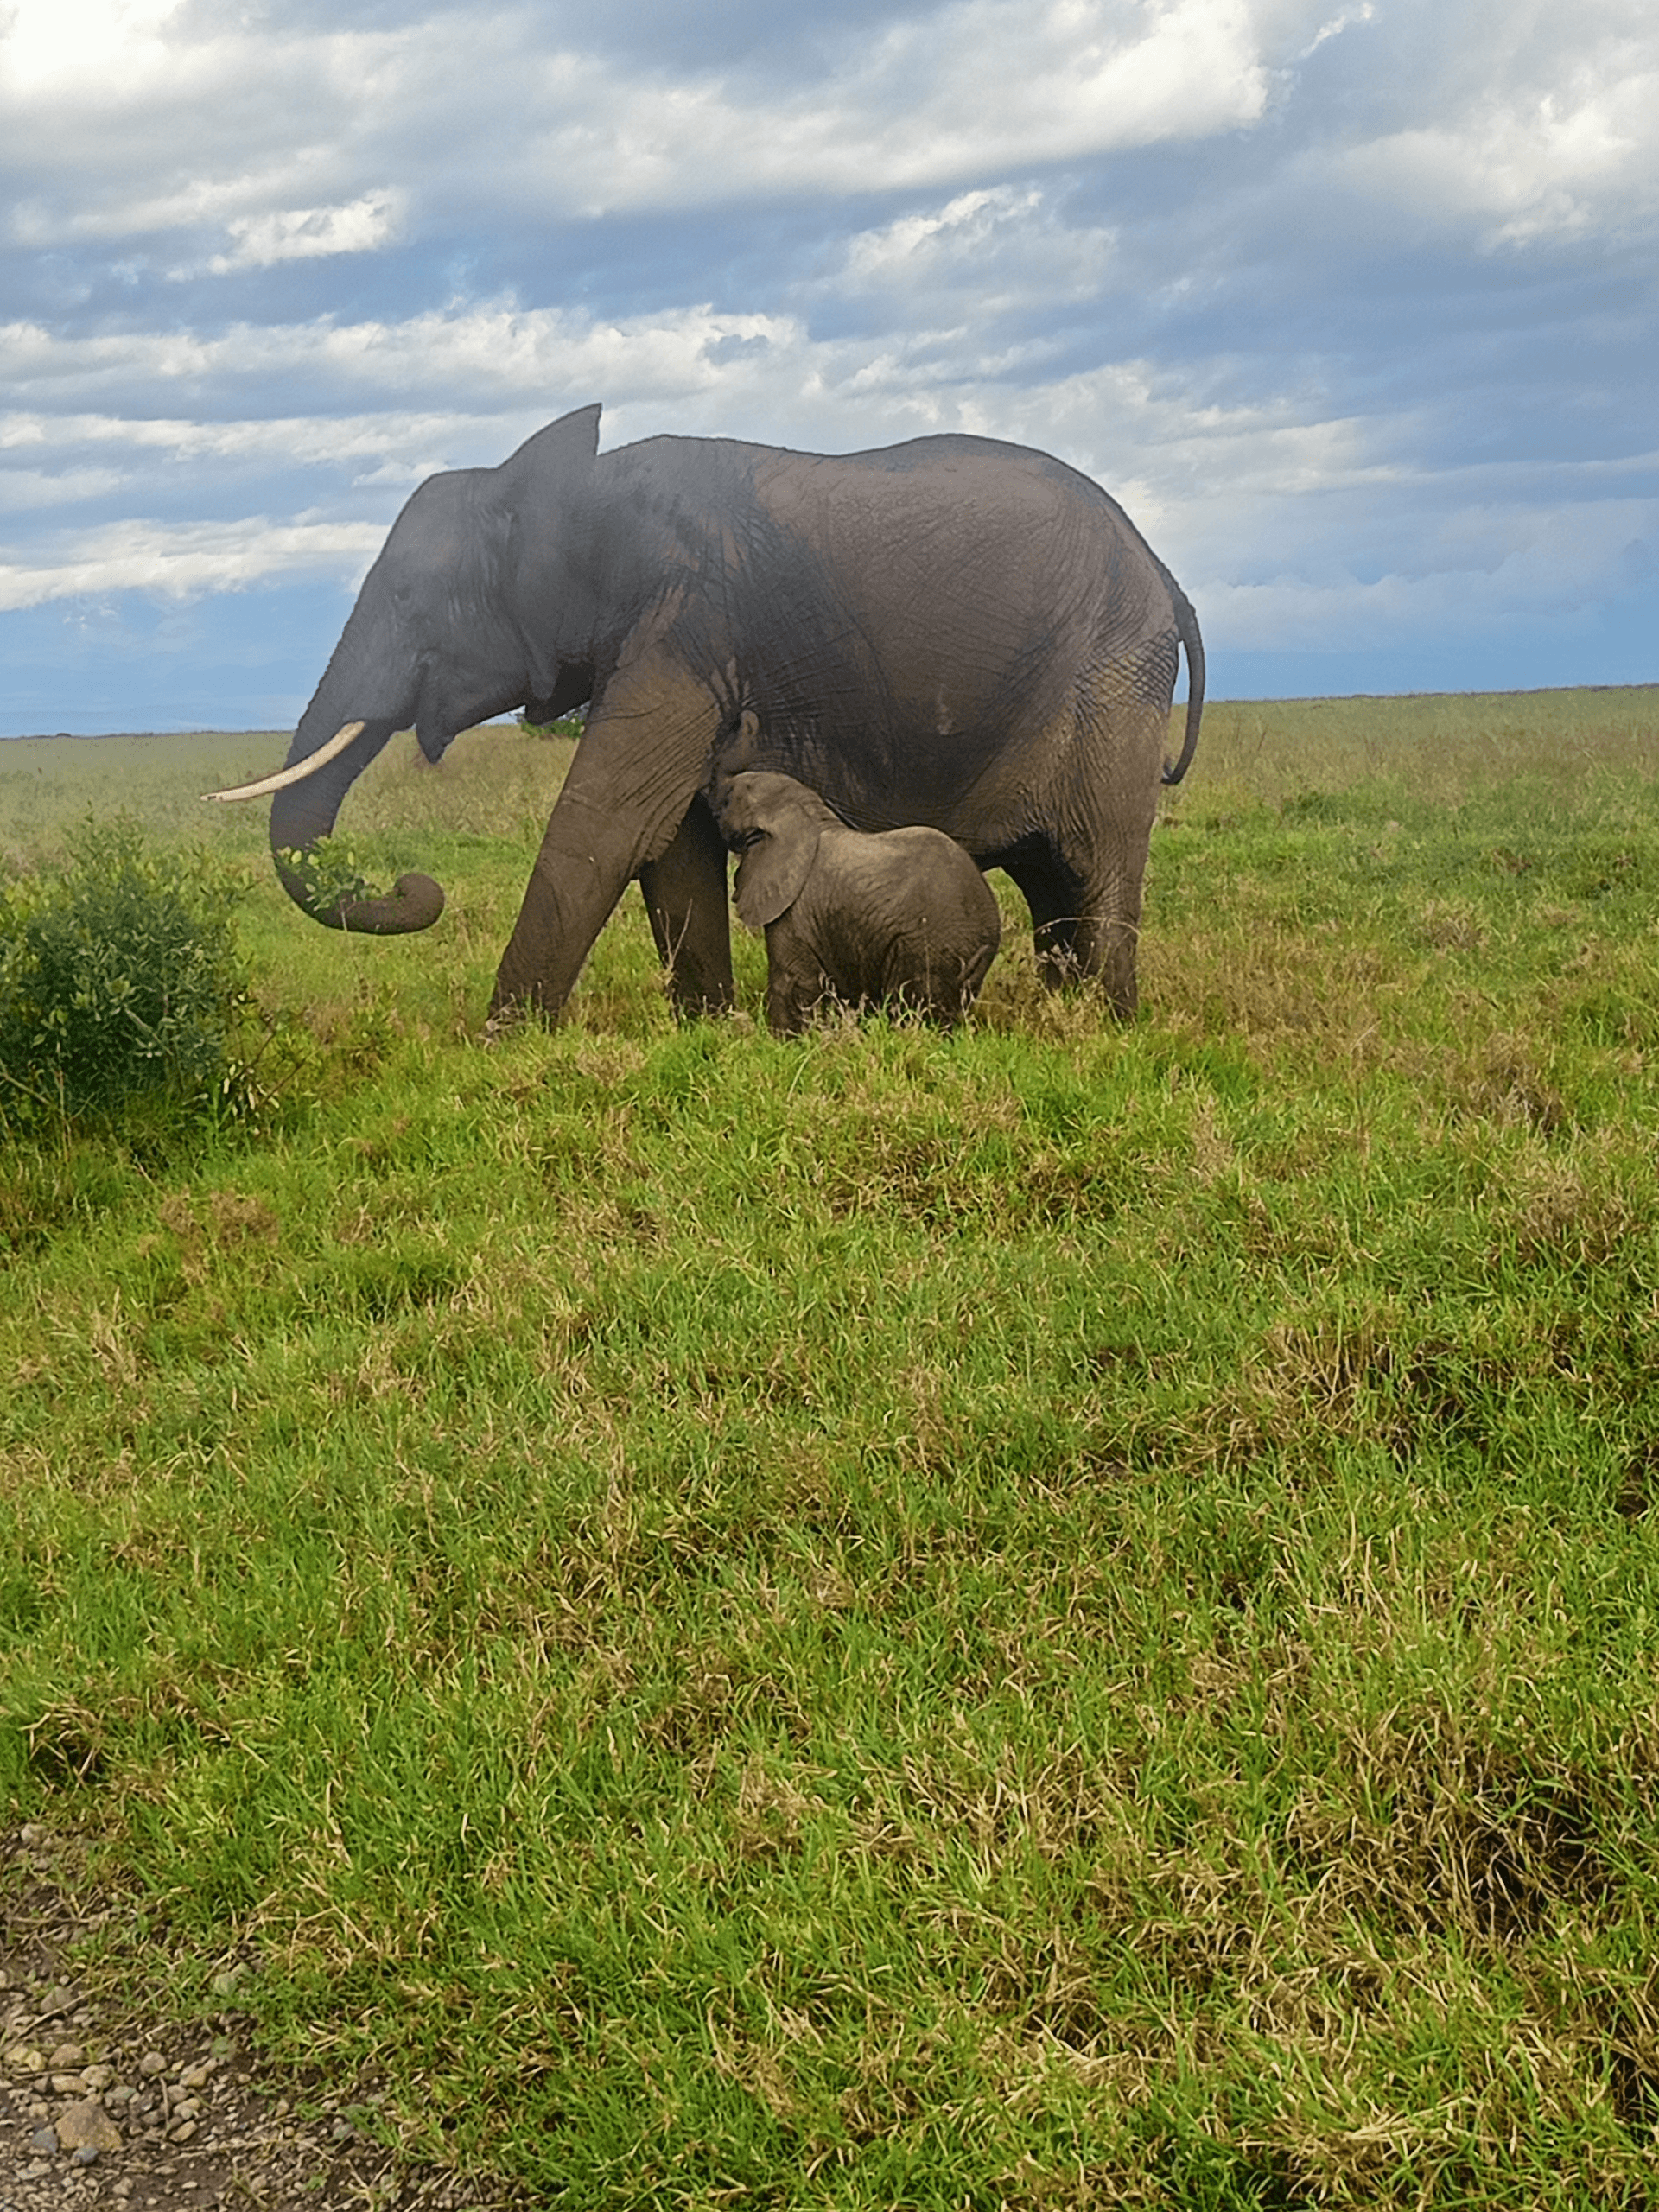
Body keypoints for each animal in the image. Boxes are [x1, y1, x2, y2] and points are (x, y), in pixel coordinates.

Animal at [711, 759, 1002, 1035]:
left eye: (727, 800)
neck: (808, 813)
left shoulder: (795, 910)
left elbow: (794, 980)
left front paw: (784, 1041)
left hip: (926, 946)